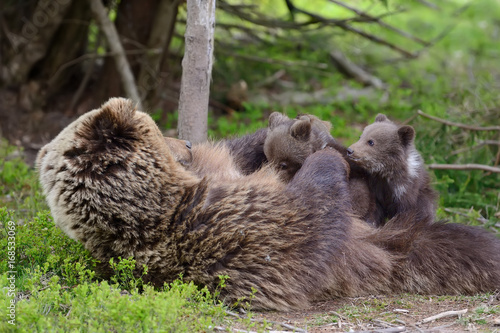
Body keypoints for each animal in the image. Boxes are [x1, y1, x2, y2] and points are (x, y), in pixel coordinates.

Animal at [37, 97, 500, 310]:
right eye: (158, 129)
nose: (188, 142)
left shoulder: (226, 170)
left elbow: (245, 149)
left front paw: (302, 127)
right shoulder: (235, 222)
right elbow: (307, 216)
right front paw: (326, 157)